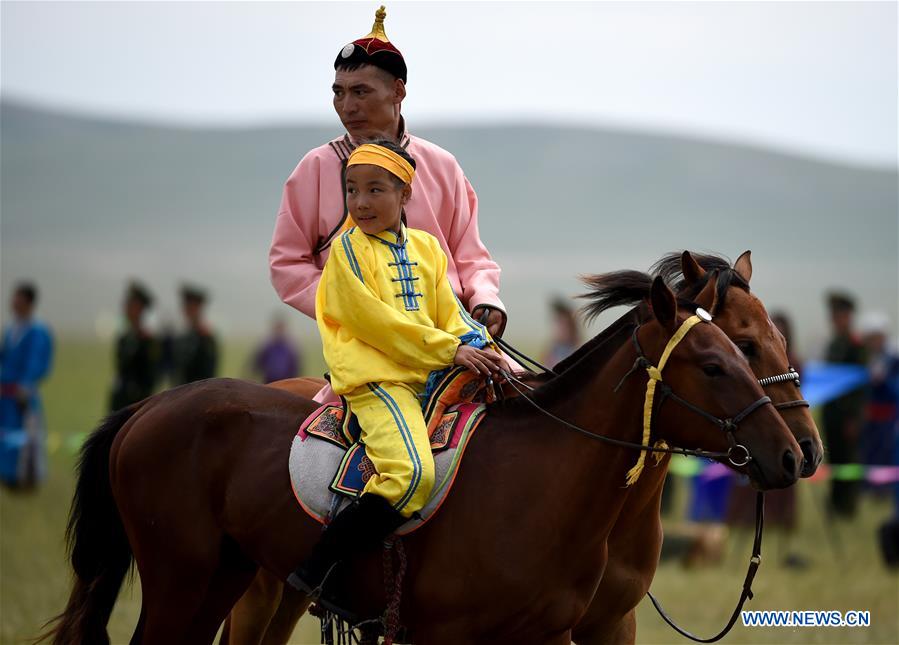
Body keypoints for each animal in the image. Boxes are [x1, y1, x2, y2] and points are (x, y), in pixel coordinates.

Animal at [44, 274, 800, 640]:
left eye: (752, 346)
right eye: (718, 361)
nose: (796, 455)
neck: (538, 484)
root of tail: (146, 409)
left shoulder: (559, 632)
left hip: (220, 578)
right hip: (184, 582)